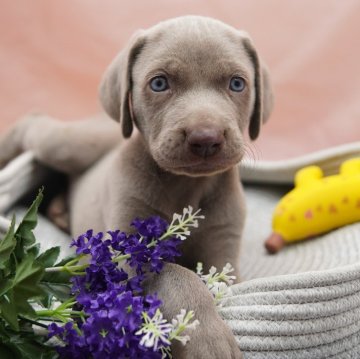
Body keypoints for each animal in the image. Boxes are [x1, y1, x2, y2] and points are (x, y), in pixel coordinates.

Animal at [0, 15, 272, 358]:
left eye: (237, 83)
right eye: (159, 83)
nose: (205, 138)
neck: (185, 187)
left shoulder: (225, 254)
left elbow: (215, 279)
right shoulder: (128, 254)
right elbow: (178, 275)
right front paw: (206, 339)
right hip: (69, 145)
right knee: (34, 124)